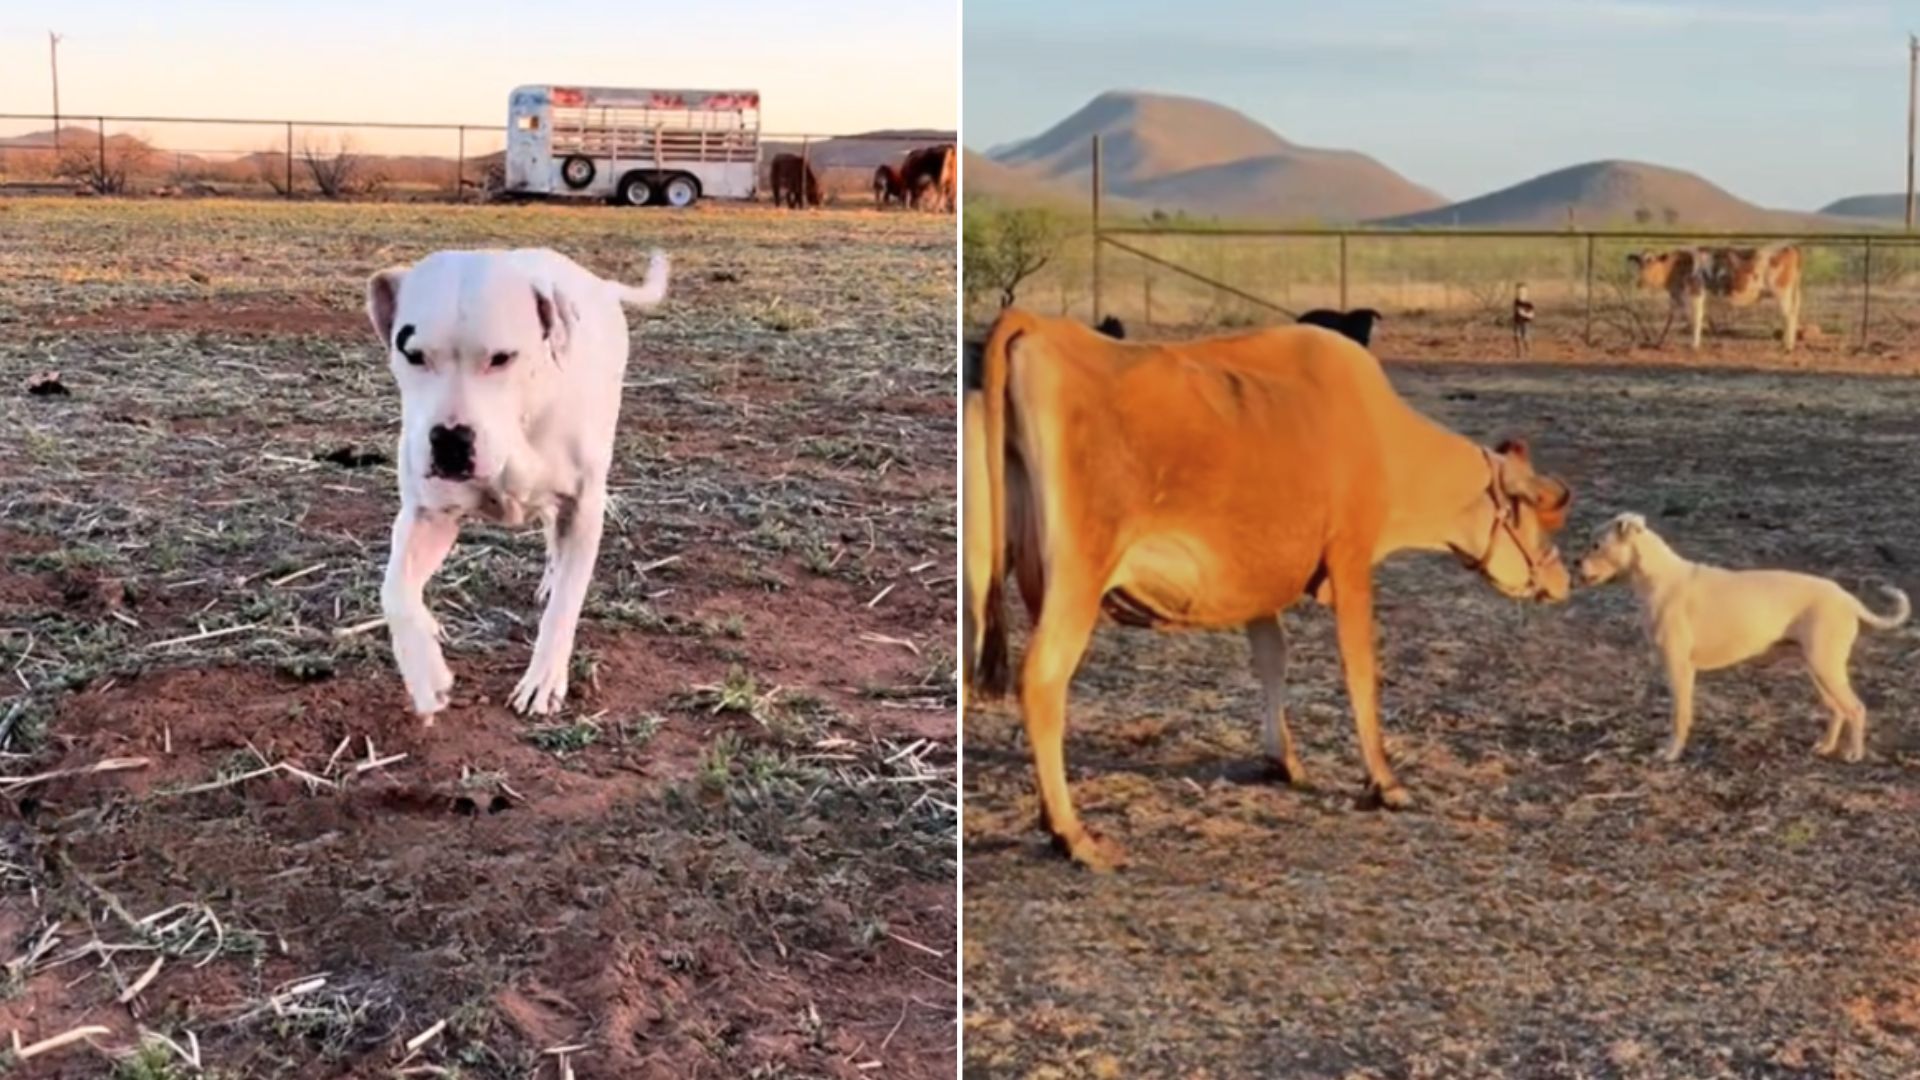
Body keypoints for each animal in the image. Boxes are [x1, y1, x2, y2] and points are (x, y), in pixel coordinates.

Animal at [362, 247, 672, 718]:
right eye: (412, 354)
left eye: (502, 357)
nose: (450, 441)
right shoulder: (429, 515)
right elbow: (394, 591)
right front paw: (426, 674)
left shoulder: (583, 508)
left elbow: (566, 603)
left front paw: (543, 678)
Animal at [967, 309, 1566, 864]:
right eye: (1534, 511)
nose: (1560, 578)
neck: (1382, 439)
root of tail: (1040, 326)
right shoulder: (1350, 560)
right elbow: (1360, 672)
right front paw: (1385, 782)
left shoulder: (1254, 577)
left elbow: (1273, 656)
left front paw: (1283, 759)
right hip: (1078, 579)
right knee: (1042, 681)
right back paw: (1072, 834)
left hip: (999, 578)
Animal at [1574, 511, 1904, 757]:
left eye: (1596, 545)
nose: (1575, 562)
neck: (1659, 577)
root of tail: (1849, 600)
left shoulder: (1679, 668)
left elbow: (1679, 715)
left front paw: (1670, 753)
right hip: (1818, 670)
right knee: (1837, 710)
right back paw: (1825, 747)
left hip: (1826, 667)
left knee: (1856, 708)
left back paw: (1853, 754)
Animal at [1620, 243, 1797, 349]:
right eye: (1639, 263)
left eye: (1652, 261)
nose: (1640, 282)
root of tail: (1788, 248)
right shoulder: (1680, 297)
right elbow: (1675, 319)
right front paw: (1659, 342)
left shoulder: (1696, 293)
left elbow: (1696, 319)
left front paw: (1694, 345)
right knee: (1791, 315)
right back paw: (1788, 342)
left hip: (1782, 293)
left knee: (1788, 316)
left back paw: (1787, 346)